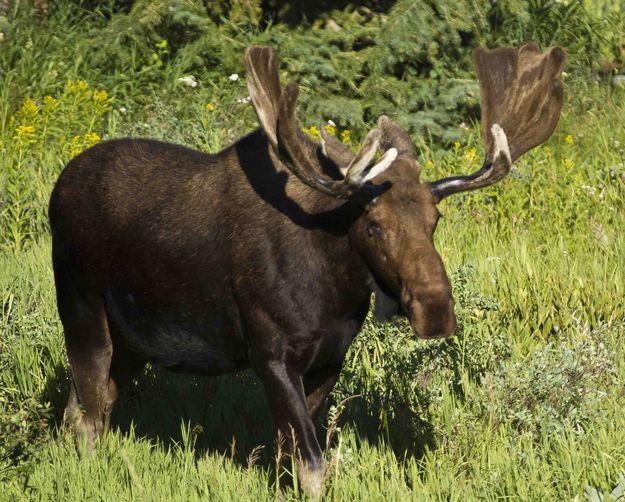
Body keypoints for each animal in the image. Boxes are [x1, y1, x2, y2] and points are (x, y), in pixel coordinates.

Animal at [48, 42, 564, 494]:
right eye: (373, 224)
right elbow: (312, 463)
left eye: (434, 219)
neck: (336, 289)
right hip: (82, 311)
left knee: (86, 406)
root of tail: (57, 188)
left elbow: (286, 454)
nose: (435, 308)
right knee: (89, 413)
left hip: (133, 341)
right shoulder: (271, 354)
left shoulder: (329, 359)